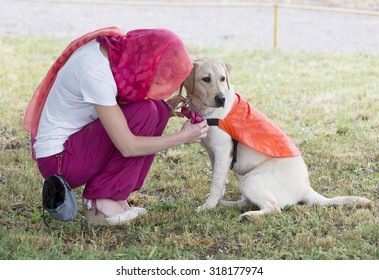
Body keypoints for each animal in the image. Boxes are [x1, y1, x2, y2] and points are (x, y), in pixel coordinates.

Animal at [183, 57, 374, 219]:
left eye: (223, 79)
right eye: (205, 79)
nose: (221, 99)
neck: (206, 112)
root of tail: (306, 188)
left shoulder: (223, 152)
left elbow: (216, 184)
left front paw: (207, 206)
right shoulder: (213, 154)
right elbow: (220, 181)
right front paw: (215, 202)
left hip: (250, 179)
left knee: (273, 208)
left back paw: (249, 217)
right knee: (245, 203)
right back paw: (227, 205)